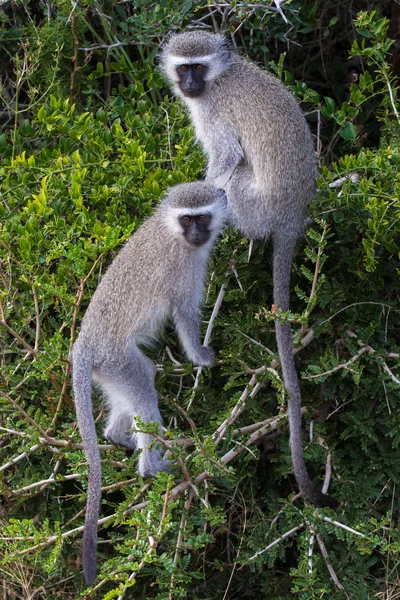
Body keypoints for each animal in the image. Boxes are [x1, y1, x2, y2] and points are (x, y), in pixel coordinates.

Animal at [72, 180, 228, 584]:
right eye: (187, 219)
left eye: (201, 217)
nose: (196, 234)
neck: (171, 232)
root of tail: (83, 344)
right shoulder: (183, 270)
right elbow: (184, 314)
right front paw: (201, 356)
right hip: (117, 359)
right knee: (143, 380)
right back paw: (152, 467)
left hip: (108, 370)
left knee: (133, 391)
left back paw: (118, 437)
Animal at [159, 30, 338, 508]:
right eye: (183, 67)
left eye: (198, 67)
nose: (189, 84)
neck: (221, 77)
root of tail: (292, 217)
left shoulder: (214, 115)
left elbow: (225, 160)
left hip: (253, 206)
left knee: (234, 179)